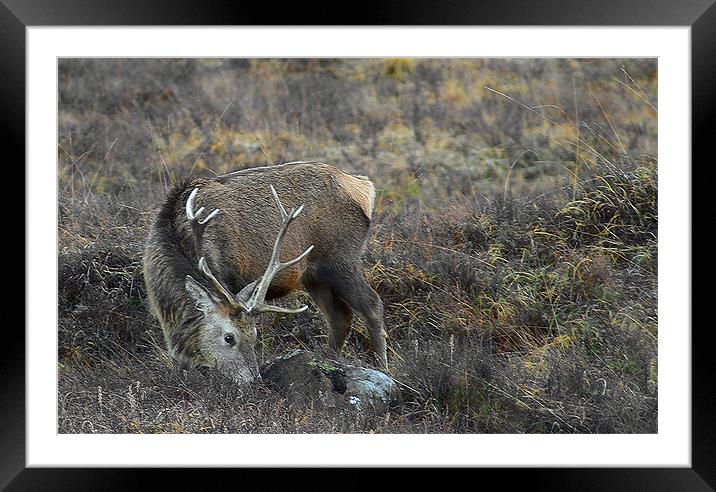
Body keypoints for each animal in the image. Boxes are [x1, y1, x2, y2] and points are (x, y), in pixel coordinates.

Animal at [141, 161, 386, 384]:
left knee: (372, 304)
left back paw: (381, 366)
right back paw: (331, 360)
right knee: (339, 315)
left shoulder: (231, 279)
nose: (254, 380)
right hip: (314, 276)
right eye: (229, 338)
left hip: (341, 259)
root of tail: (365, 188)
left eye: (255, 336)